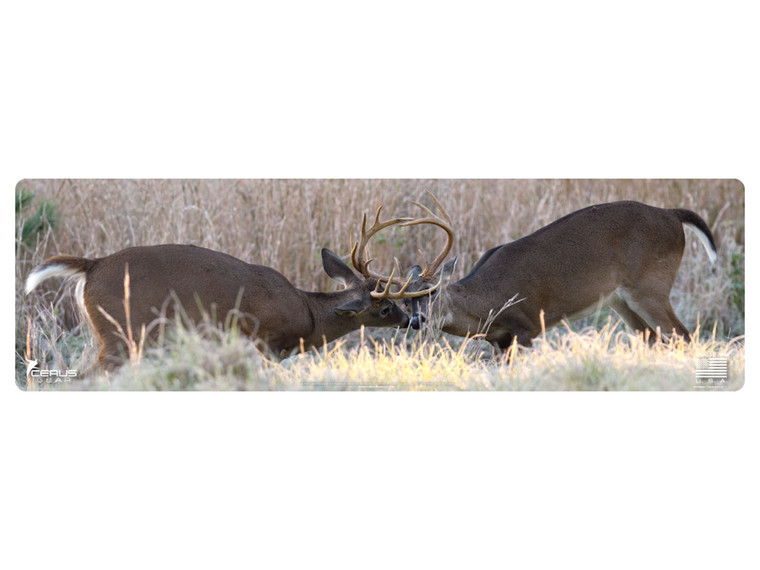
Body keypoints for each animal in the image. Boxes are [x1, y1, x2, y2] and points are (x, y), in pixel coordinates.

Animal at [24, 206, 437, 373]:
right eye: (385, 307)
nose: (414, 321)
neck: (308, 315)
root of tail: (92, 265)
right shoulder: (266, 341)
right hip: (122, 333)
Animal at [398, 194, 718, 349]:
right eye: (404, 301)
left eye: (432, 292)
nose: (416, 321)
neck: (487, 304)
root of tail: (672, 215)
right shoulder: (500, 339)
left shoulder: (527, 325)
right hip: (620, 300)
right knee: (653, 339)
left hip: (650, 286)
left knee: (683, 336)